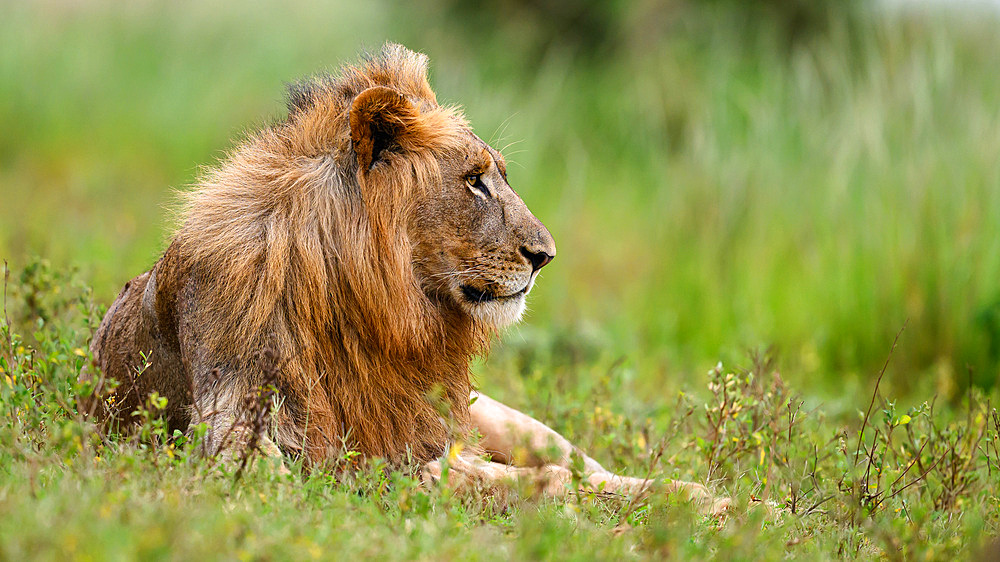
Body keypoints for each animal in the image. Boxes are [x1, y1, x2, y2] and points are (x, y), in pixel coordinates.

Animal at [82, 43, 728, 516]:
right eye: (474, 181)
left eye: (499, 176)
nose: (545, 256)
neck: (360, 304)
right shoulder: (238, 426)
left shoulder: (420, 438)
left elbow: (533, 476)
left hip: (502, 418)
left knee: (584, 463)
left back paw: (715, 498)